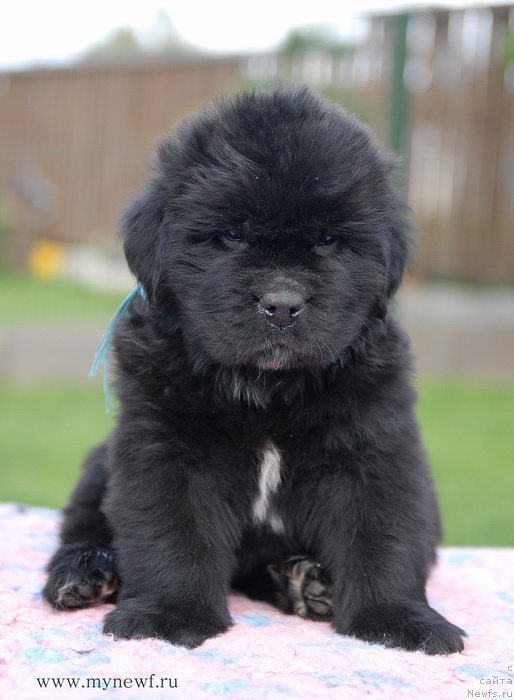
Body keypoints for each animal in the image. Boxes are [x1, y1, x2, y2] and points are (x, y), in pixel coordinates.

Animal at [43, 87, 464, 656]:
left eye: (327, 240)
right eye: (232, 235)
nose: (282, 303)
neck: (269, 389)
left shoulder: (374, 449)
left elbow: (383, 535)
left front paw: (398, 620)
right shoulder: (166, 449)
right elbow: (173, 534)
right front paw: (168, 615)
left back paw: (305, 583)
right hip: (100, 462)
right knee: (81, 521)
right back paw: (84, 572)